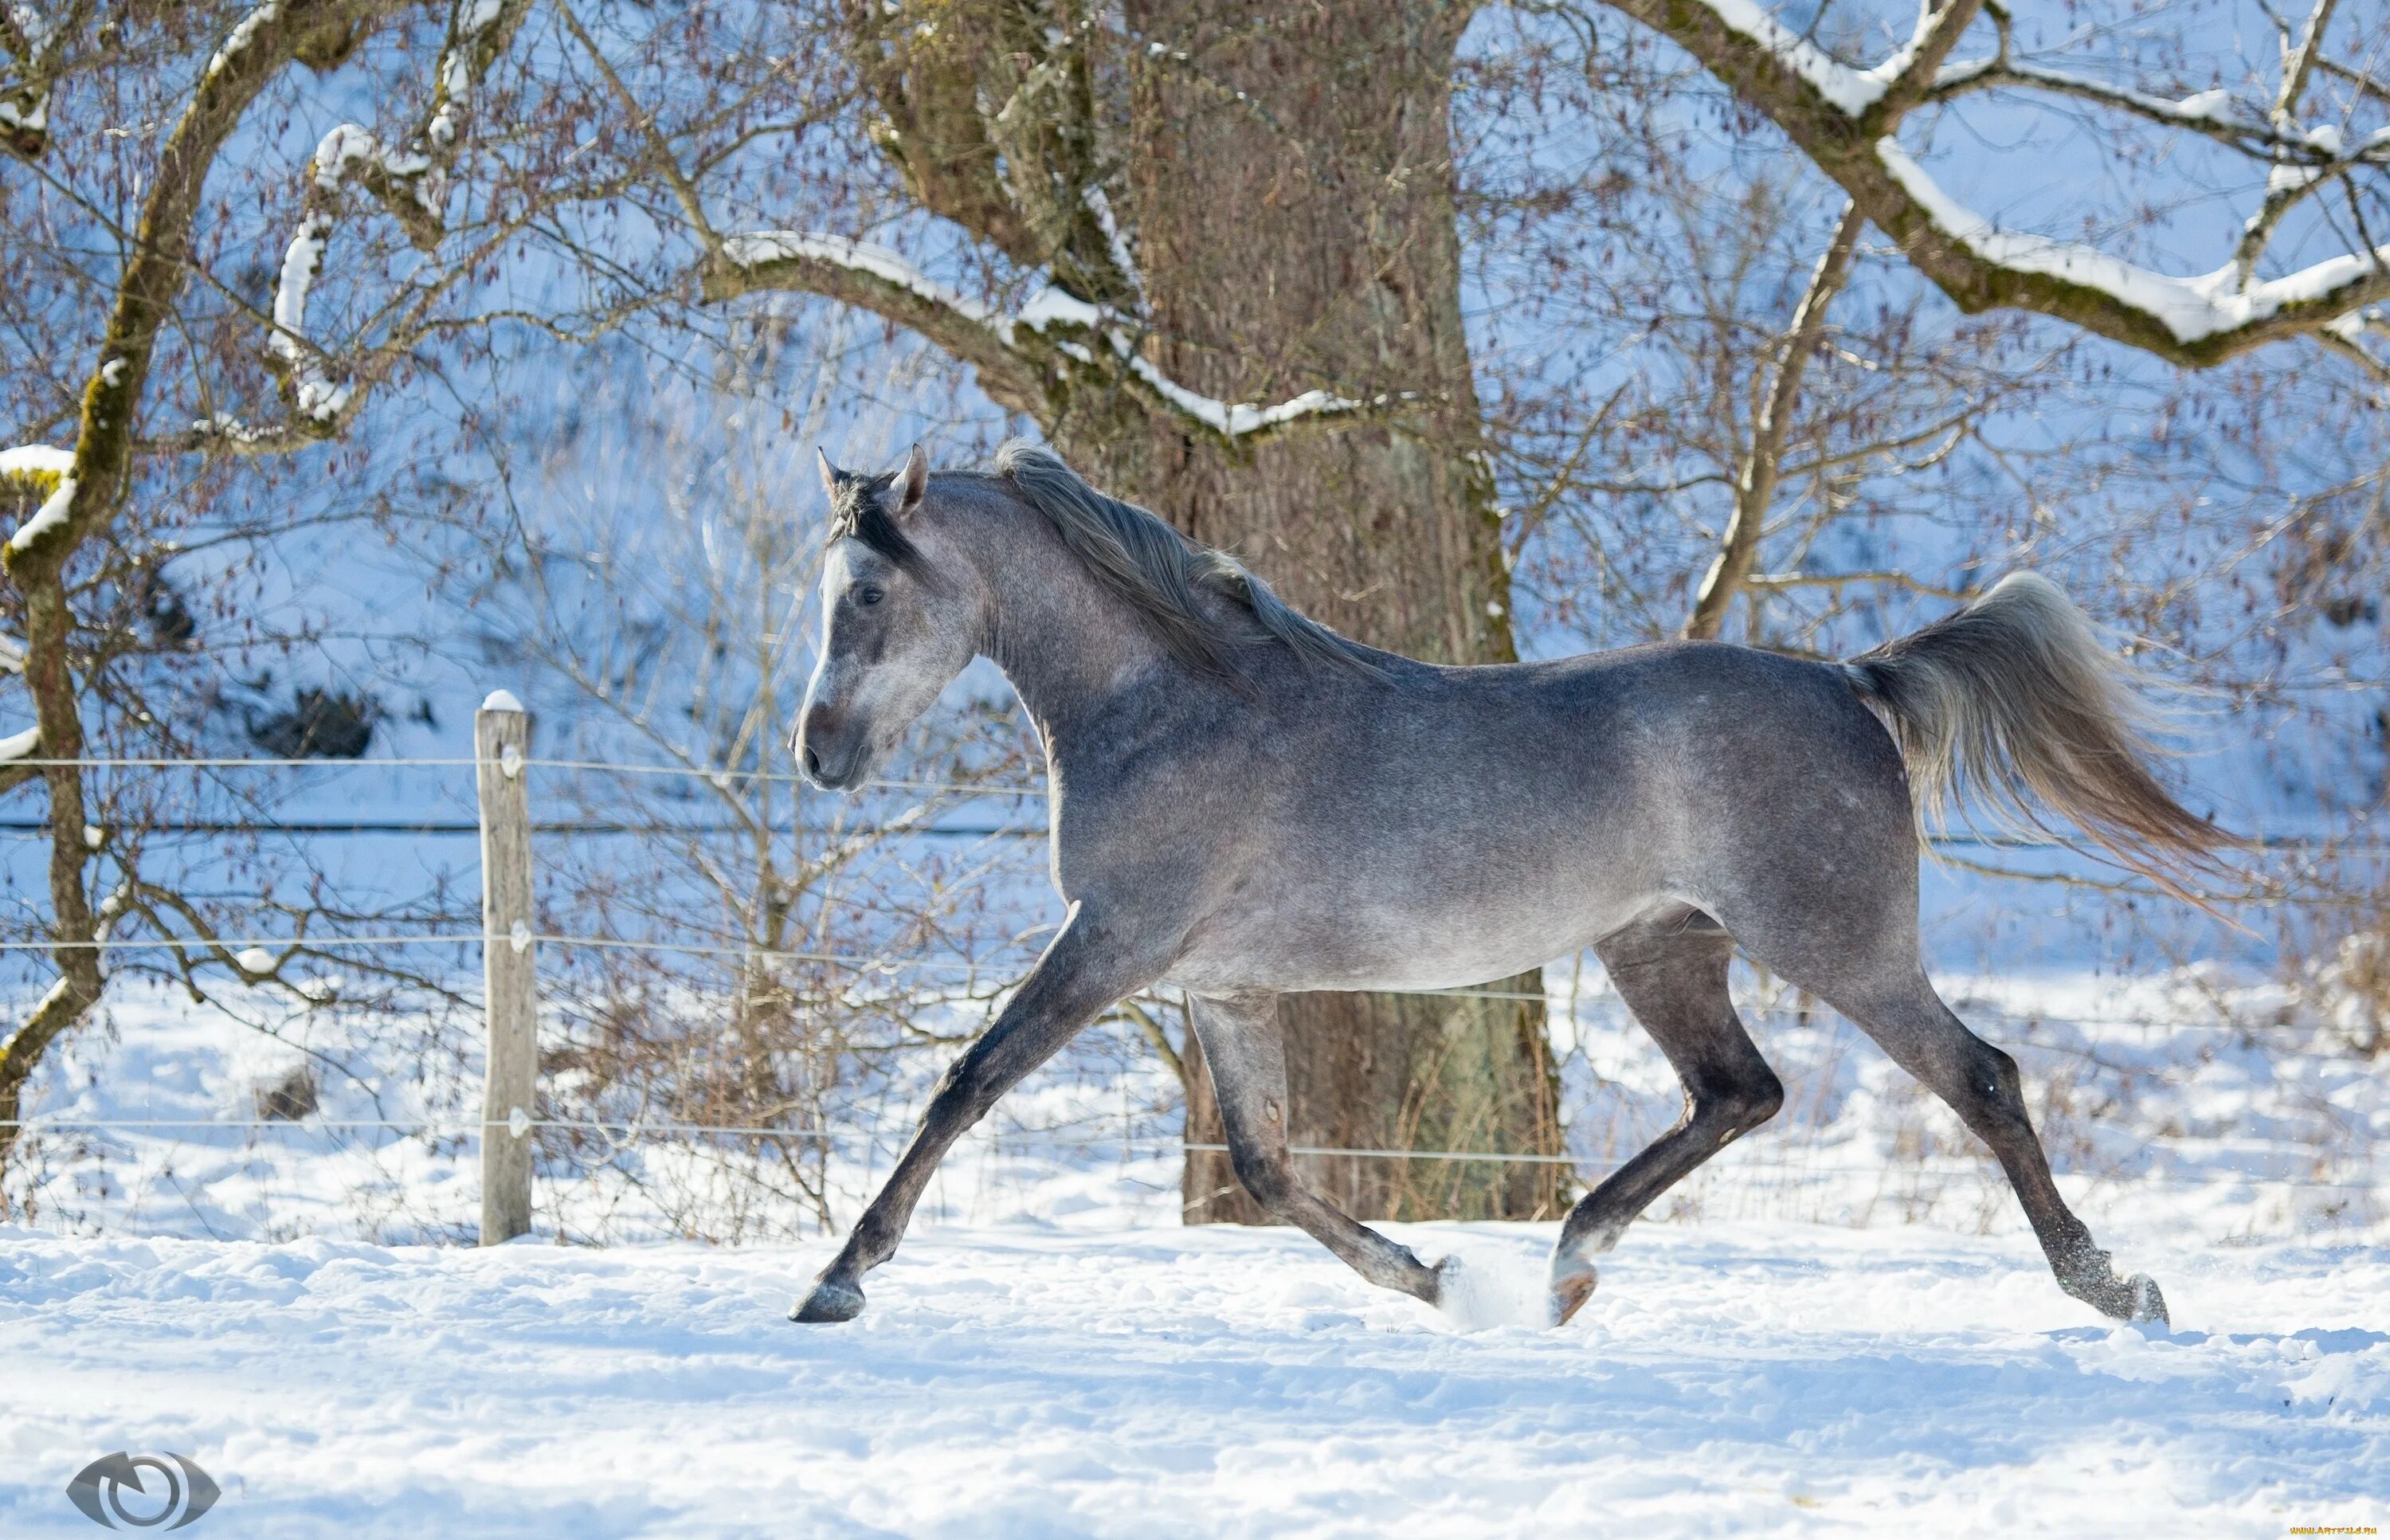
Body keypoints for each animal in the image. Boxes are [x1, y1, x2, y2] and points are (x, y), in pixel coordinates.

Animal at [789, 440, 2218, 1329]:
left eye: (863, 593)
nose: (819, 753)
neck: (1172, 704)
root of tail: (1850, 680)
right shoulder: (1219, 983)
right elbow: (1267, 1167)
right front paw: (1435, 1280)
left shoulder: (1113, 943)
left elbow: (967, 1083)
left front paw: (837, 1281)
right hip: (1663, 946)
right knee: (1739, 1091)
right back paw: (1566, 1270)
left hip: (1838, 945)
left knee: (1983, 1078)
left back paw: (2117, 1289)